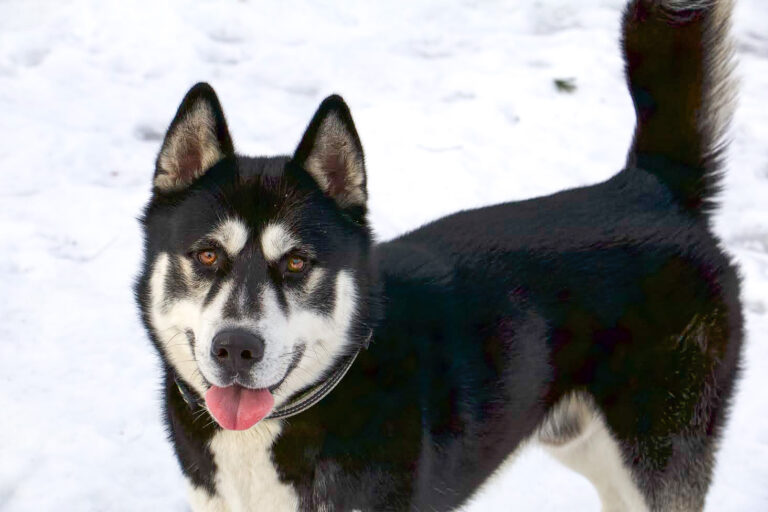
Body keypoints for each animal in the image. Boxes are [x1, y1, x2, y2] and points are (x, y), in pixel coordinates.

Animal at [138, 2, 744, 510]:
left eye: (295, 263)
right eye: (207, 255)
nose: (235, 348)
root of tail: (650, 187)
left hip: (656, 451)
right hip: (583, 441)